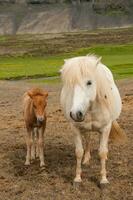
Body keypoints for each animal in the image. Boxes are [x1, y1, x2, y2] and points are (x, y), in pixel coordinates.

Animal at [60, 55, 125, 186]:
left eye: (89, 82)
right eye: (69, 84)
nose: (75, 113)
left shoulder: (106, 128)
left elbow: (102, 152)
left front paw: (103, 179)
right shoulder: (75, 128)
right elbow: (79, 152)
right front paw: (77, 178)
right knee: (88, 140)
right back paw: (86, 159)